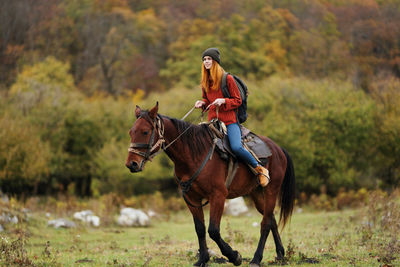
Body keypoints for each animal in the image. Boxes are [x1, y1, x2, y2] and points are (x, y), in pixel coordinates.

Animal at [126, 103, 296, 267]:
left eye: (145, 132)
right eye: (131, 132)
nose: (131, 164)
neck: (194, 154)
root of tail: (278, 149)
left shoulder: (218, 196)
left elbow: (213, 230)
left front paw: (234, 256)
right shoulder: (192, 198)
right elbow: (200, 229)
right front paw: (202, 260)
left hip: (271, 191)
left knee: (265, 223)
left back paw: (256, 259)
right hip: (257, 194)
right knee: (271, 219)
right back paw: (280, 254)